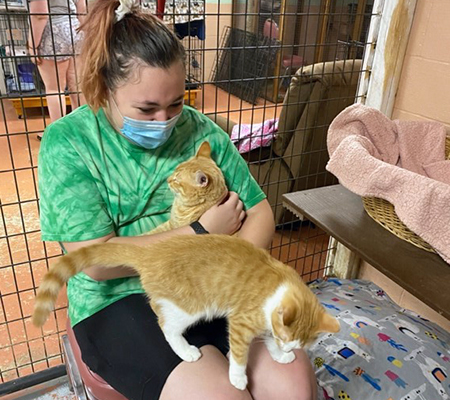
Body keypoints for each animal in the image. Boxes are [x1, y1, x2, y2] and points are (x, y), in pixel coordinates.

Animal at [33, 234, 340, 390]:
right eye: (285, 337)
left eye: (295, 343)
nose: (287, 347)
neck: (279, 287)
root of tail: (151, 254)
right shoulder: (241, 322)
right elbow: (240, 355)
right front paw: (238, 377)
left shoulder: (267, 325)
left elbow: (269, 342)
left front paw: (280, 356)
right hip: (190, 306)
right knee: (165, 324)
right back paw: (185, 350)